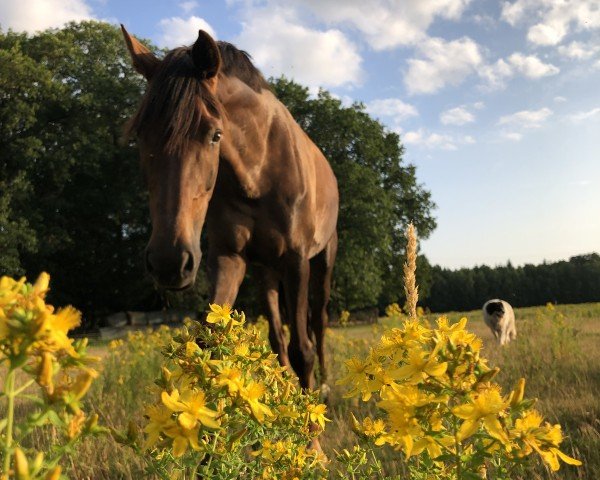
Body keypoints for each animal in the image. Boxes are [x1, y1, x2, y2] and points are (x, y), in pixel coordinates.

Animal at [121, 26, 338, 392]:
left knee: (318, 324)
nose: (168, 262)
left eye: (215, 134)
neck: (259, 173)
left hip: (322, 259)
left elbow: (303, 350)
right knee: (278, 336)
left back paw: (323, 383)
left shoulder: (296, 261)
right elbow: (211, 342)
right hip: (265, 271)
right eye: (140, 135)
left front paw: (310, 407)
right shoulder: (228, 258)